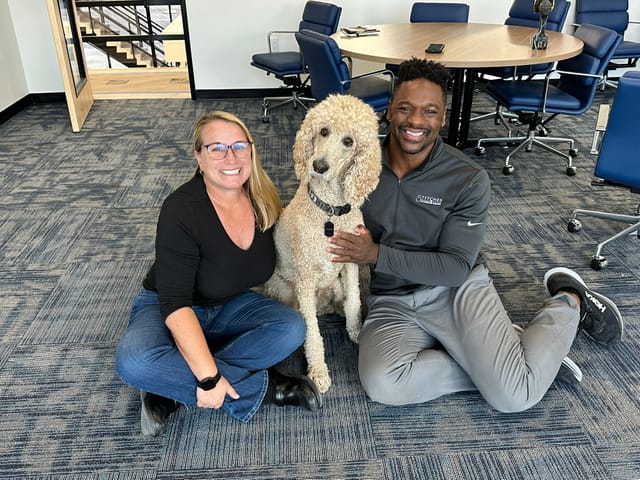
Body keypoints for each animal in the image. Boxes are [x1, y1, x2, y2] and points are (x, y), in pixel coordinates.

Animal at [264, 94, 380, 394]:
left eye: (349, 141)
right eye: (324, 131)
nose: (319, 166)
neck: (329, 213)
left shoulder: (349, 265)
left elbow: (354, 303)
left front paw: (357, 332)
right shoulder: (305, 279)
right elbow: (313, 335)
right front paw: (317, 371)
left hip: (334, 285)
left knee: (342, 304)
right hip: (286, 291)